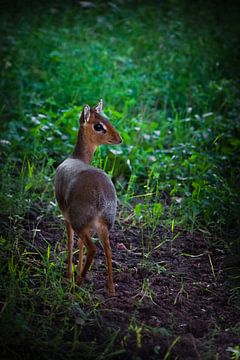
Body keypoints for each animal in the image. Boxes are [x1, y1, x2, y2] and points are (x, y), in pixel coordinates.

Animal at [55, 100, 122, 296]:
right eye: (99, 125)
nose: (119, 139)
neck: (77, 157)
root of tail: (100, 196)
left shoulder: (66, 217)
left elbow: (70, 243)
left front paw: (69, 276)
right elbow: (78, 245)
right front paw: (76, 273)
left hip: (80, 223)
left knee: (93, 249)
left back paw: (78, 283)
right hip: (104, 225)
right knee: (107, 250)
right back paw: (111, 289)